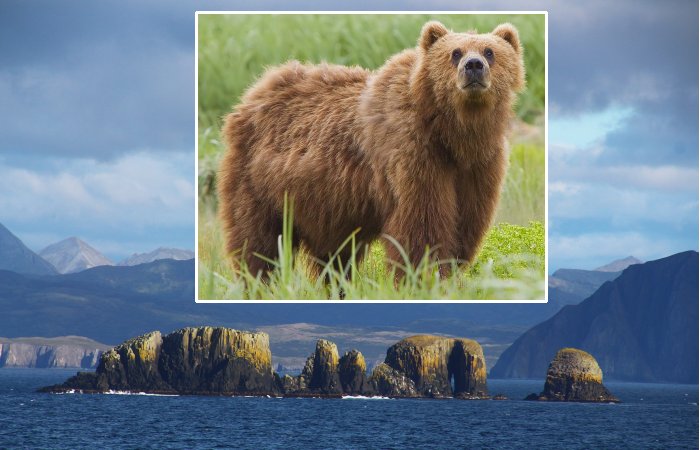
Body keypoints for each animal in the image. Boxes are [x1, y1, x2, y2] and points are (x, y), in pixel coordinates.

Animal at [217, 21, 525, 278]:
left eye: (490, 51)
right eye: (455, 53)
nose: (473, 65)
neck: (453, 134)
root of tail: (255, 91)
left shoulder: (479, 166)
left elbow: (465, 225)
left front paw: (450, 273)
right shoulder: (413, 154)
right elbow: (422, 227)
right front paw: (424, 277)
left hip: (325, 205)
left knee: (334, 257)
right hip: (260, 182)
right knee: (259, 242)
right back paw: (258, 280)